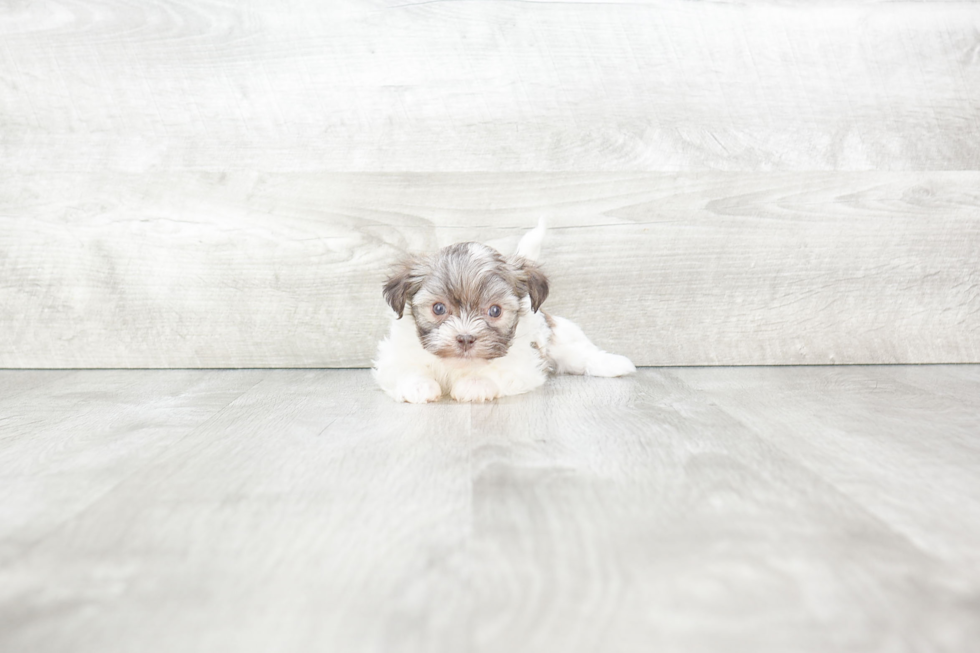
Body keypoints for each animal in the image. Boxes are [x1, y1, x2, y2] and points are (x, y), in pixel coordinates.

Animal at [374, 220, 636, 402]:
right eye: (438, 308)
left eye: (495, 311)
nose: (465, 338)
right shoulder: (395, 357)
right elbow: (405, 368)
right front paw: (418, 386)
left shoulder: (525, 363)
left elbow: (499, 371)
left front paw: (476, 383)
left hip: (563, 340)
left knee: (582, 354)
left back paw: (615, 364)